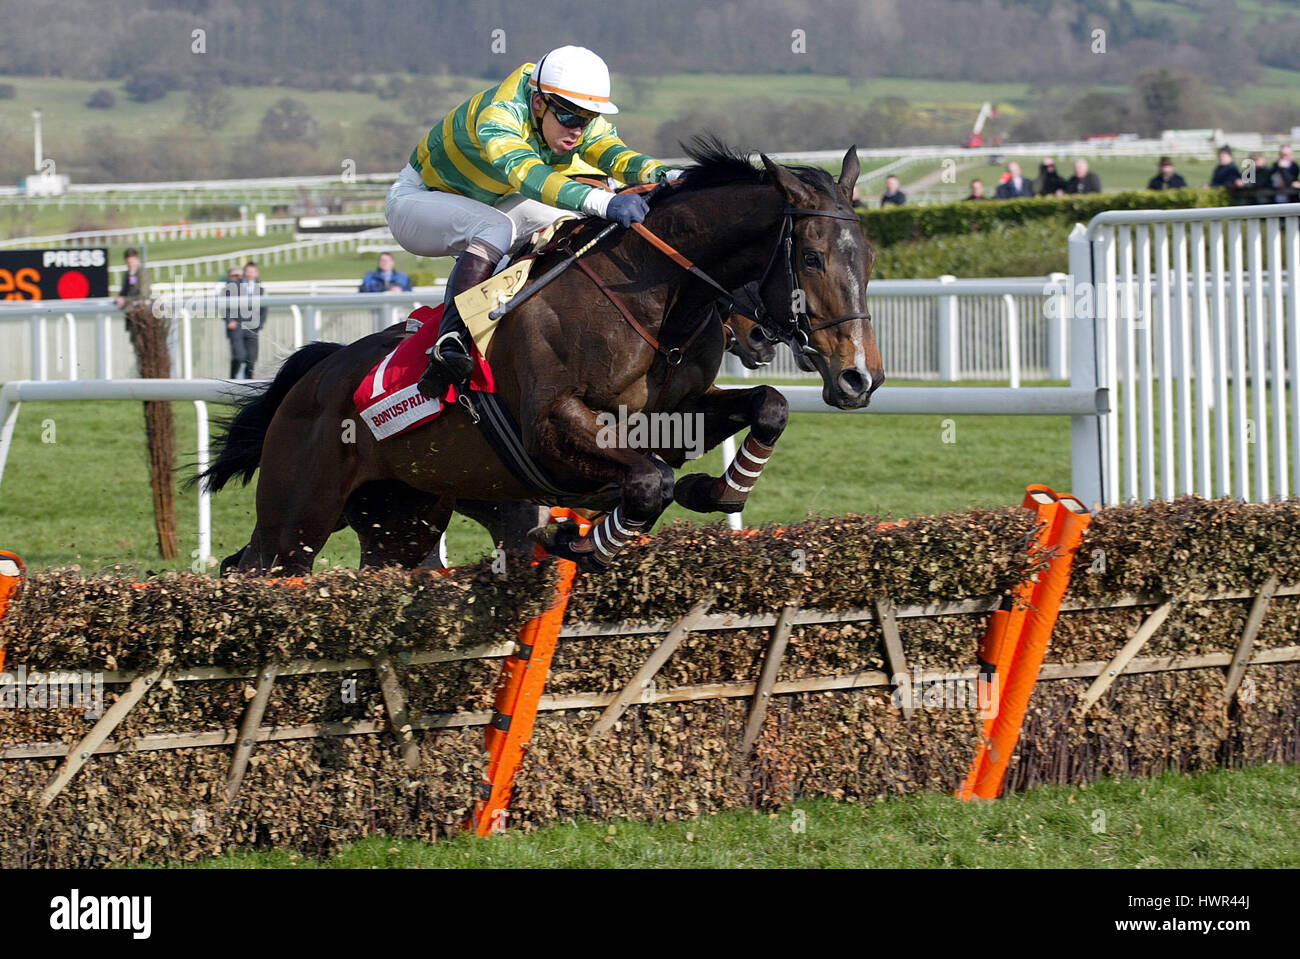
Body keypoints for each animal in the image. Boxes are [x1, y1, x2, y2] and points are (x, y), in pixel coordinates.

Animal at [200, 140, 883, 574]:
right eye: (812, 258)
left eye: (871, 257)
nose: (860, 377)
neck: (651, 299)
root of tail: (312, 377)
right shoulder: (551, 427)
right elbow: (648, 482)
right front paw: (579, 541)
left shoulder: (676, 414)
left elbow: (765, 408)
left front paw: (714, 491)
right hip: (296, 519)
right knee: (250, 567)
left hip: (402, 519)